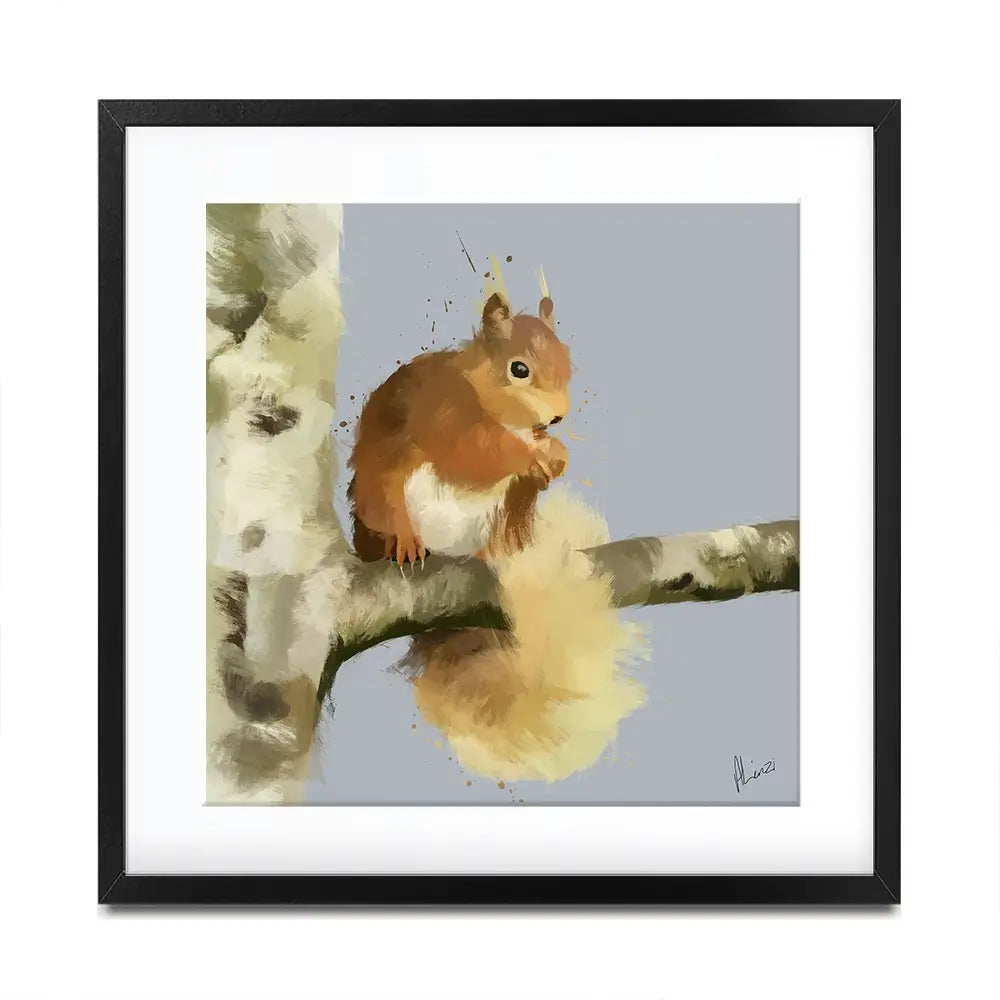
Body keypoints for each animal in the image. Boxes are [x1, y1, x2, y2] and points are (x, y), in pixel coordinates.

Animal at [348, 287, 647, 782]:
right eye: (518, 369)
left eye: (568, 359)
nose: (558, 418)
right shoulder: (444, 413)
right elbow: (475, 451)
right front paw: (531, 453)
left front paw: (555, 455)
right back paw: (405, 543)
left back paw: (493, 553)